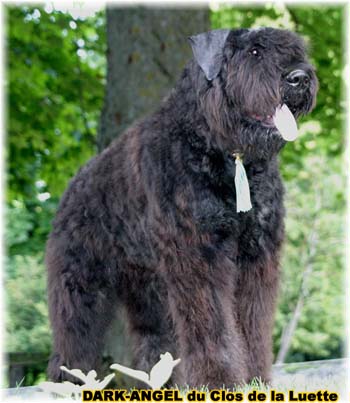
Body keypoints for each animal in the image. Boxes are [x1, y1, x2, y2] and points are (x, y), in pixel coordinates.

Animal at [45, 27, 318, 388]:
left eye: (295, 49)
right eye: (254, 52)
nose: (299, 77)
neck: (223, 152)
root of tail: (73, 186)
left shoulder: (256, 257)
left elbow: (251, 323)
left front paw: (255, 381)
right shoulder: (200, 258)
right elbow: (214, 327)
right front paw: (220, 382)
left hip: (149, 292)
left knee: (153, 343)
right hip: (81, 286)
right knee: (73, 339)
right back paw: (67, 385)